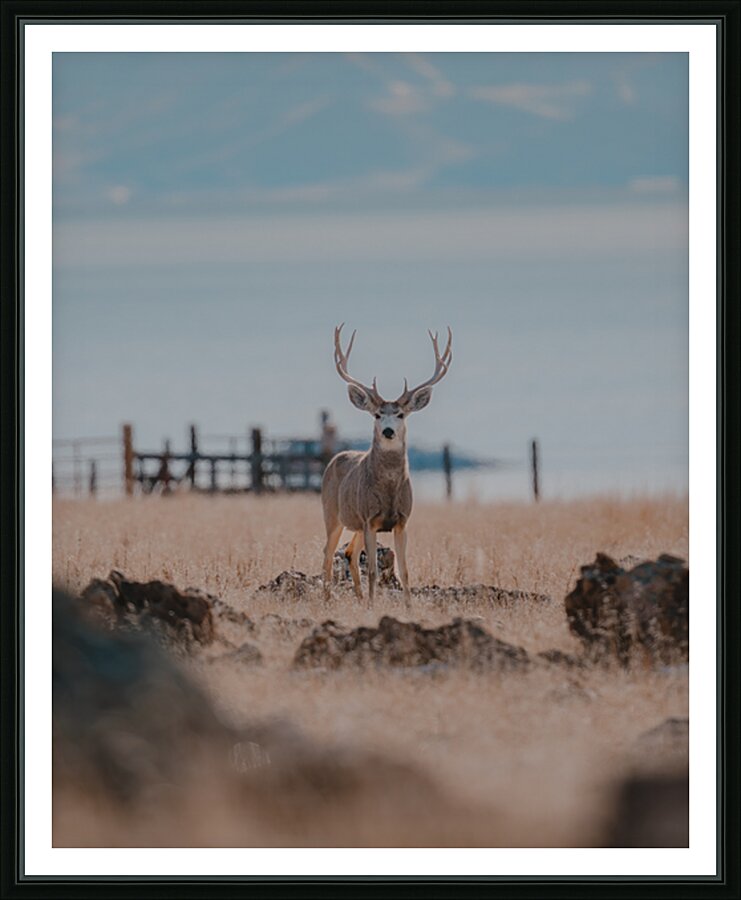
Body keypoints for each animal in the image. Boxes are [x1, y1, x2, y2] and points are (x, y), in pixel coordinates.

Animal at [321, 324, 452, 604]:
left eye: (401, 414)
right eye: (377, 414)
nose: (389, 431)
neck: (389, 491)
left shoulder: (402, 521)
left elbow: (405, 571)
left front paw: (408, 607)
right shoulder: (370, 519)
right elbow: (372, 570)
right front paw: (373, 606)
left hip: (356, 524)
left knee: (349, 552)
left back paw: (359, 598)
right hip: (332, 513)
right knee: (328, 551)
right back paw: (328, 598)